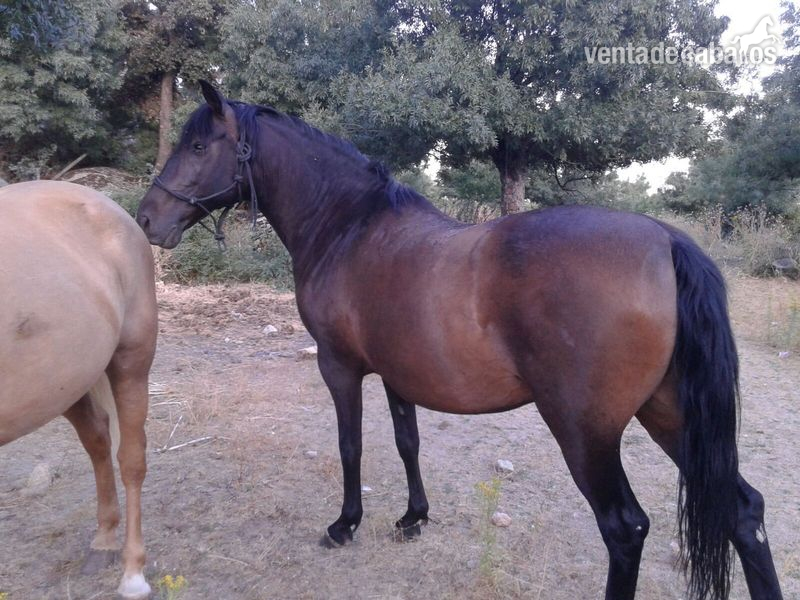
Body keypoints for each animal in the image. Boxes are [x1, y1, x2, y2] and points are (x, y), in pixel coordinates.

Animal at [1, 181, 157, 599]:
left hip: (130, 361)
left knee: (130, 459)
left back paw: (132, 573)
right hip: (65, 382)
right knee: (98, 439)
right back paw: (103, 540)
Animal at [136, 81, 784, 600]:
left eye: (199, 147)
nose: (146, 219)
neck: (349, 227)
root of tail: (665, 242)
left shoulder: (339, 366)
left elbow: (351, 446)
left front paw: (345, 525)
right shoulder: (398, 372)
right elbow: (407, 442)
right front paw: (413, 517)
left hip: (587, 432)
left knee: (625, 529)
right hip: (671, 415)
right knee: (743, 511)